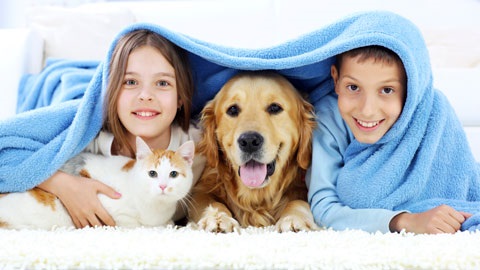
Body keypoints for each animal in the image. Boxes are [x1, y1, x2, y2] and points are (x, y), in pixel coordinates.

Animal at [0, 136, 195, 229]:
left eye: (173, 174)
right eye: (152, 173)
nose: (163, 186)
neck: (155, 208)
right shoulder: (112, 210)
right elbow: (135, 225)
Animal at [188, 71, 318, 232]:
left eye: (275, 108)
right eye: (232, 109)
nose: (249, 141)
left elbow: (298, 201)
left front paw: (293, 218)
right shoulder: (201, 188)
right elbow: (209, 201)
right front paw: (217, 217)